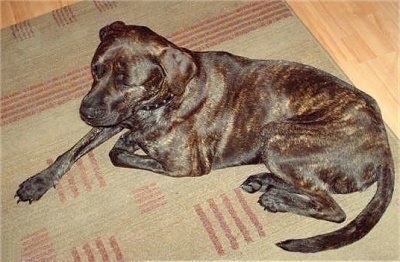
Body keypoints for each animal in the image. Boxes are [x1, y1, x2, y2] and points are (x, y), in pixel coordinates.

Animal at [15, 21, 394, 253]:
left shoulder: (186, 165)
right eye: (95, 70)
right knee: (312, 189)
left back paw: (276, 198)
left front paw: (128, 145)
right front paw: (38, 182)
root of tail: (383, 144)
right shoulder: (114, 119)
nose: (86, 111)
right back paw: (263, 181)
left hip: (278, 136)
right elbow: (71, 152)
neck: (164, 97)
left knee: (333, 208)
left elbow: (119, 155)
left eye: (125, 81)